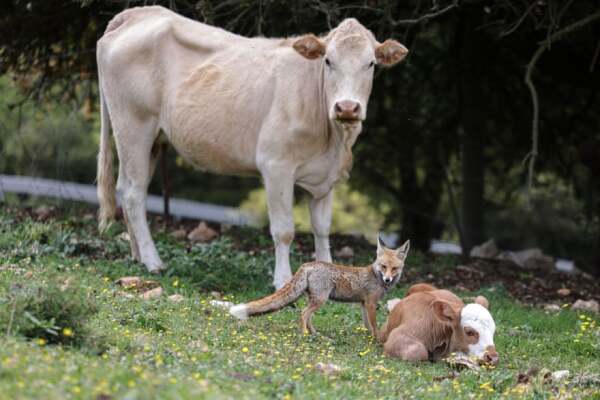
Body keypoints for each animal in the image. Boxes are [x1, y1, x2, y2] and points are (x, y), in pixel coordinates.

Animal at [97, 6, 408, 288]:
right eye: (328, 61)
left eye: (371, 64)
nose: (347, 107)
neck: (333, 140)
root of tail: (139, 13)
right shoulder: (276, 165)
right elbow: (284, 230)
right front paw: (282, 280)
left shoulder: (325, 176)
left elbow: (322, 229)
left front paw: (328, 270)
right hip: (134, 126)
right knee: (135, 193)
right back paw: (153, 261)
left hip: (152, 139)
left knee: (125, 187)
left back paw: (137, 256)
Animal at [227, 238, 410, 338]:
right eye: (384, 266)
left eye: (394, 268)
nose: (387, 279)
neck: (375, 275)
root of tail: (307, 264)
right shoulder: (371, 303)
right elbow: (374, 325)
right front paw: (376, 339)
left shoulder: (363, 304)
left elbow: (367, 325)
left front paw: (368, 337)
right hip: (321, 299)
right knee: (303, 314)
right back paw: (304, 335)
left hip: (315, 299)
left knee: (309, 317)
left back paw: (315, 334)